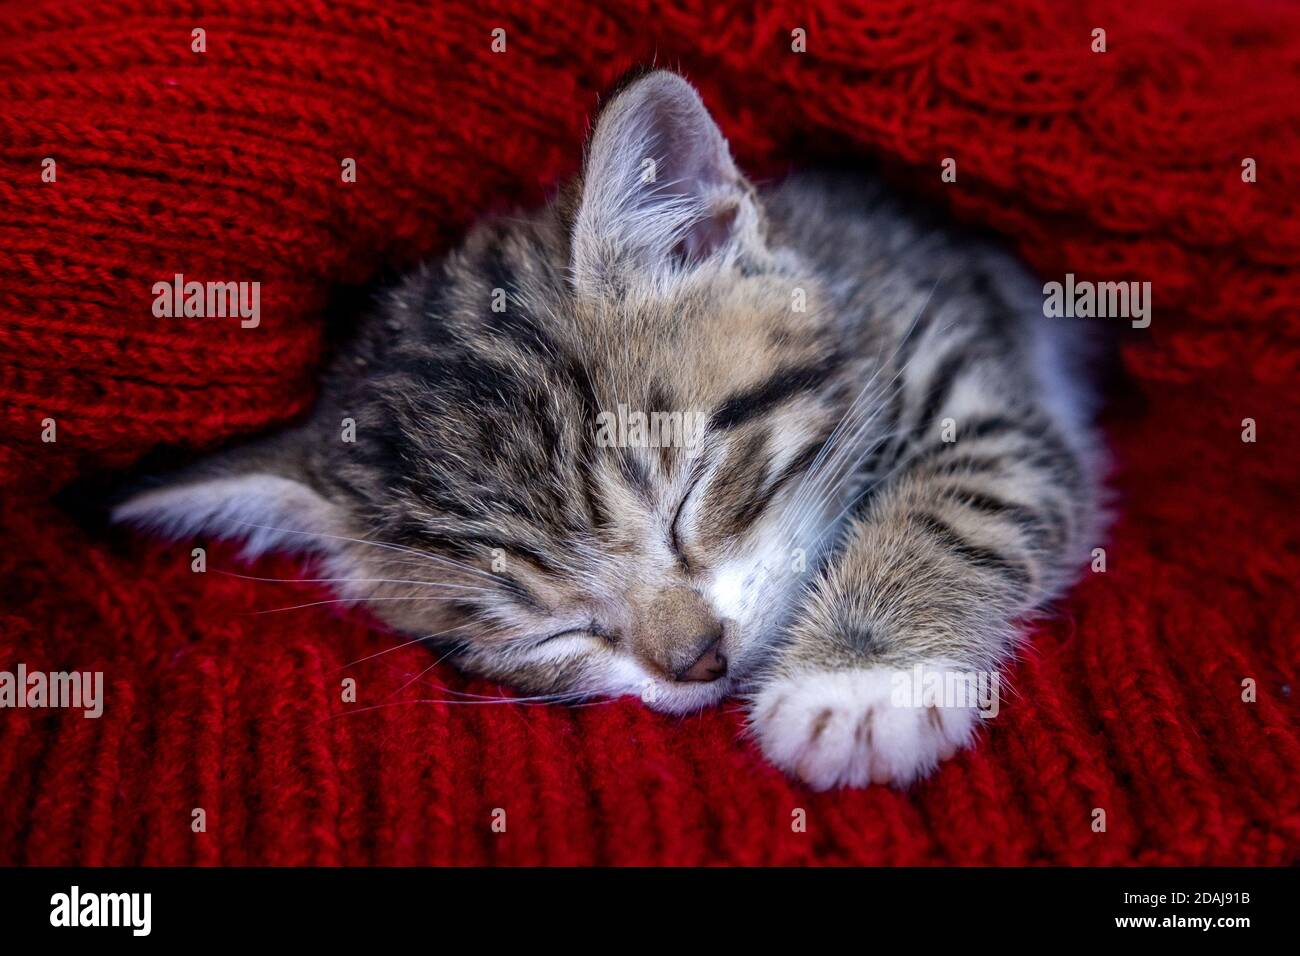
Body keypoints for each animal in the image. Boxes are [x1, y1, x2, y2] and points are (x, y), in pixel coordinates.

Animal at [116, 72, 1102, 790]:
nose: (698, 660)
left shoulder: (965, 366)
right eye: (550, 633)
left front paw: (856, 681)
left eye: (690, 495)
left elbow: (964, 499)